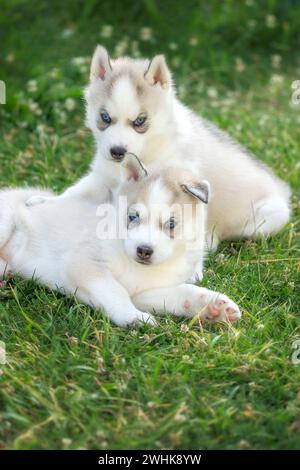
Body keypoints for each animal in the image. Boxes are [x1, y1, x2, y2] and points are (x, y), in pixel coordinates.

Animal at [0, 156, 240, 324]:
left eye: (171, 224)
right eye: (133, 217)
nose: (144, 250)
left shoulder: (145, 291)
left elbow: (181, 292)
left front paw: (213, 307)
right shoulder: (83, 264)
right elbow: (115, 290)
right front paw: (133, 317)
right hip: (6, 219)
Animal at [27, 45, 290, 280]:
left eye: (140, 121)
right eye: (105, 117)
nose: (117, 152)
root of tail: (282, 188)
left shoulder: (188, 182)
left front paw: (195, 268)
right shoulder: (102, 177)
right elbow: (73, 192)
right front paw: (42, 201)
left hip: (267, 218)